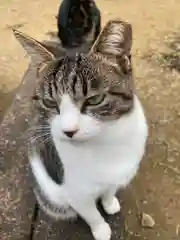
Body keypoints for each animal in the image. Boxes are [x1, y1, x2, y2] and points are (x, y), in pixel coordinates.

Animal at [13, 19, 148, 240]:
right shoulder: (76, 193)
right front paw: (101, 229)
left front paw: (109, 202)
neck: (106, 142)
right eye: (50, 102)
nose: (68, 131)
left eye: (94, 99)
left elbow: (110, 190)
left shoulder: (119, 174)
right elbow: (90, 213)